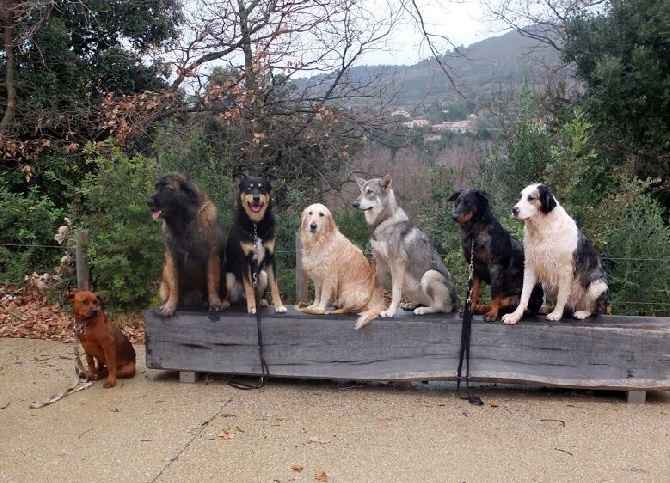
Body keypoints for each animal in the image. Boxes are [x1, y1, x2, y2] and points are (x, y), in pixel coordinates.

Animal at [148, 172, 226, 316]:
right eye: (156, 187)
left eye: (167, 188)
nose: (148, 202)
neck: (184, 225)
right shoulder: (172, 257)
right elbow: (174, 285)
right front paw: (170, 306)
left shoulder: (211, 256)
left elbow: (212, 281)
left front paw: (214, 303)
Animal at [224, 174, 288, 314]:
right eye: (249, 188)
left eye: (261, 188)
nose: (256, 198)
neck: (256, 225)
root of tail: (239, 297)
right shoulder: (244, 258)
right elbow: (248, 286)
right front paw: (252, 308)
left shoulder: (270, 256)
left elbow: (274, 285)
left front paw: (279, 306)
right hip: (228, 276)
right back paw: (225, 302)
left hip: (262, 275)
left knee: (258, 293)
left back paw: (262, 301)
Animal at [298, 202, 386, 330]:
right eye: (310, 213)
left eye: (321, 214)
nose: (313, 226)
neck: (319, 241)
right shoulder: (317, 275)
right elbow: (317, 294)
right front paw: (314, 306)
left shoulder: (329, 276)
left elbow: (324, 294)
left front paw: (320, 308)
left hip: (348, 292)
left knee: (363, 307)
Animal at [448, 189, 544, 322]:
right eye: (457, 202)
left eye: (468, 202)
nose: (454, 216)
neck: (474, 233)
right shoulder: (474, 269)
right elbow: (474, 294)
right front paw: (470, 310)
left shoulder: (495, 268)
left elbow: (494, 295)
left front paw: (492, 314)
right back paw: (480, 308)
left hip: (517, 297)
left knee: (504, 304)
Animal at [504, 184, 608, 326]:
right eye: (520, 197)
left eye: (531, 198)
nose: (514, 210)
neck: (542, 228)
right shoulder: (530, 266)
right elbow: (524, 296)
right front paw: (515, 315)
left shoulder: (565, 270)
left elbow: (561, 296)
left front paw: (557, 314)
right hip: (547, 285)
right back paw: (546, 308)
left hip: (596, 287)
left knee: (593, 310)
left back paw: (581, 313)